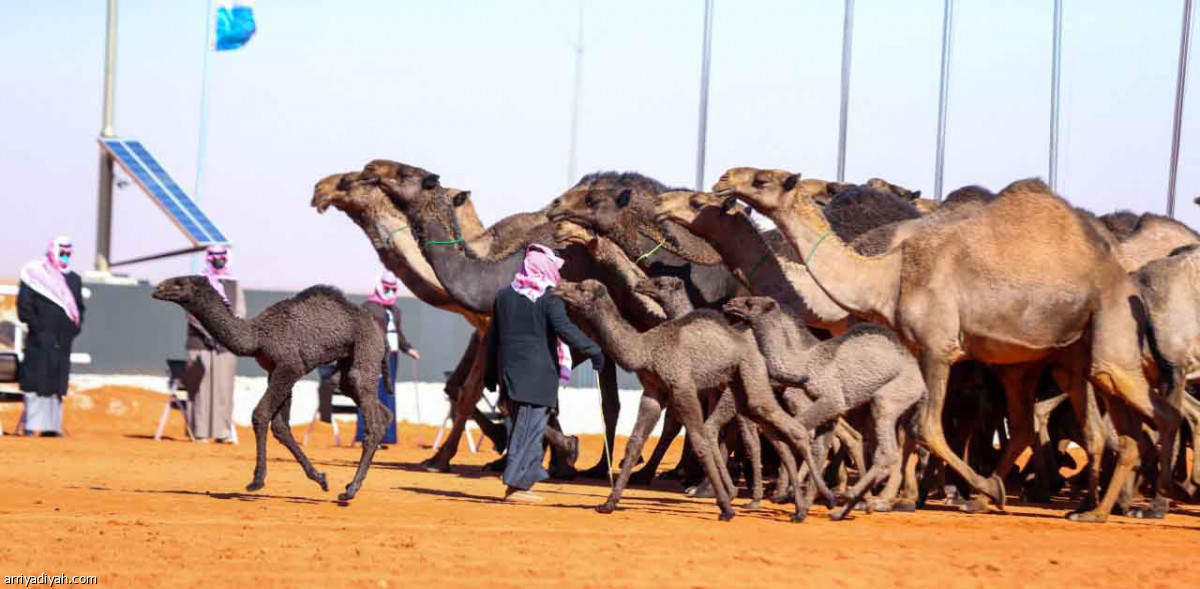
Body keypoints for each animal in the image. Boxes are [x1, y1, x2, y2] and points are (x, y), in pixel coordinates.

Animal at [152, 279, 391, 501]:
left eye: (180, 282)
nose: (158, 288)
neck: (257, 336)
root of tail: (382, 336)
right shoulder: (275, 370)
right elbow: (280, 426)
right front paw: (320, 478)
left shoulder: (289, 366)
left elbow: (261, 414)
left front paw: (257, 480)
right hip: (347, 366)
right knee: (377, 409)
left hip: (366, 350)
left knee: (371, 418)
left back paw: (350, 490)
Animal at [552, 280, 835, 520]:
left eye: (580, 288)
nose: (558, 287)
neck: (645, 349)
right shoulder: (653, 392)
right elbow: (635, 443)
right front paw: (609, 503)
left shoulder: (682, 386)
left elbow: (700, 441)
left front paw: (725, 508)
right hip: (742, 391)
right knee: (775, 432)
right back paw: (798, 506)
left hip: (750, 375)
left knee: (792, 429)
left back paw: (817, 502)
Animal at [720, 297, 926, 518]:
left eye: (749, 302)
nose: (729, 304)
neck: (804, 365)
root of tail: (921, 379)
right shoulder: (831, 412)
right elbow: (818, 447)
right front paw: (812, 499)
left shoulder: (831, 398)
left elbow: (797, 433)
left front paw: (790, 496)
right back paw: (845, 509)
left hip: (893, 393)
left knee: (887, 448)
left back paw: (853, 495)